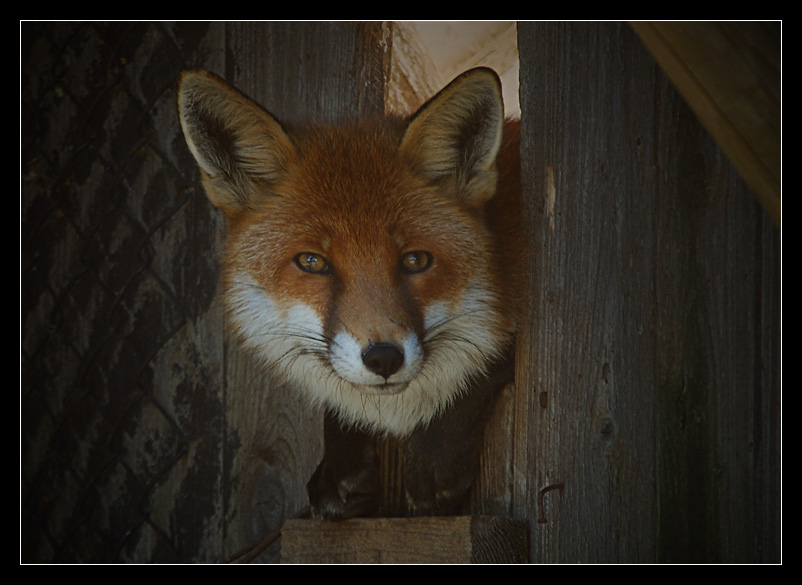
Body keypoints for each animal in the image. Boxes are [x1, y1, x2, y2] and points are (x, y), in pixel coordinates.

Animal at [178, 66, 520, 516]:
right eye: (312, 262)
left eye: (415, 260)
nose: (383, 358)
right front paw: (340, 464)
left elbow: (491, 363)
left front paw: (433, 460)